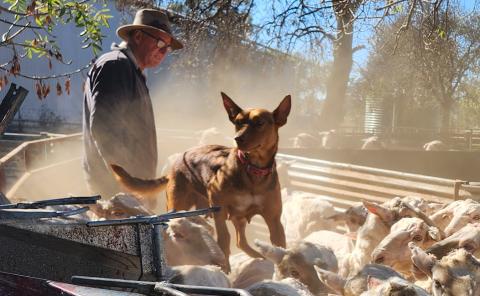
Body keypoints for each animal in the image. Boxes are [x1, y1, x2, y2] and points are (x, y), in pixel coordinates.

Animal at [111, 92, 288, 272]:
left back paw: (259, 257)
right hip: (179, 204)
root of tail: (176, 163)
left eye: (260, 123)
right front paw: (224, 269)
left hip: (237, 217)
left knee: (241, 242)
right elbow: (224, 239)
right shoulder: (218, 205)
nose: (237, 139)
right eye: (238, 122)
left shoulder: (274, 220)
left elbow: (280, 248)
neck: (253, 171)